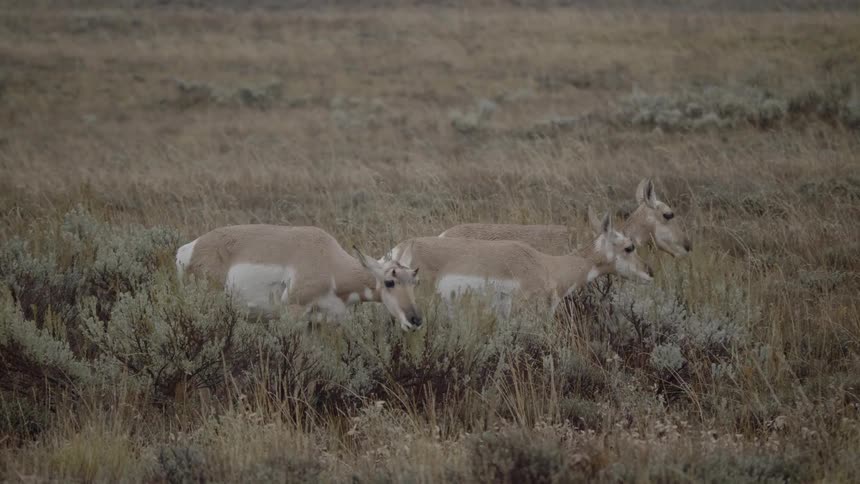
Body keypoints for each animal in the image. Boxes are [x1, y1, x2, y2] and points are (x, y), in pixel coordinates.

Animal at [175, 225, 423, 331]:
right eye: (390, 281)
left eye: (414, 281)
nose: (416, 320)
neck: (329, 262)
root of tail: (188, 249)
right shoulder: (293, 315)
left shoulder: (321, 324)